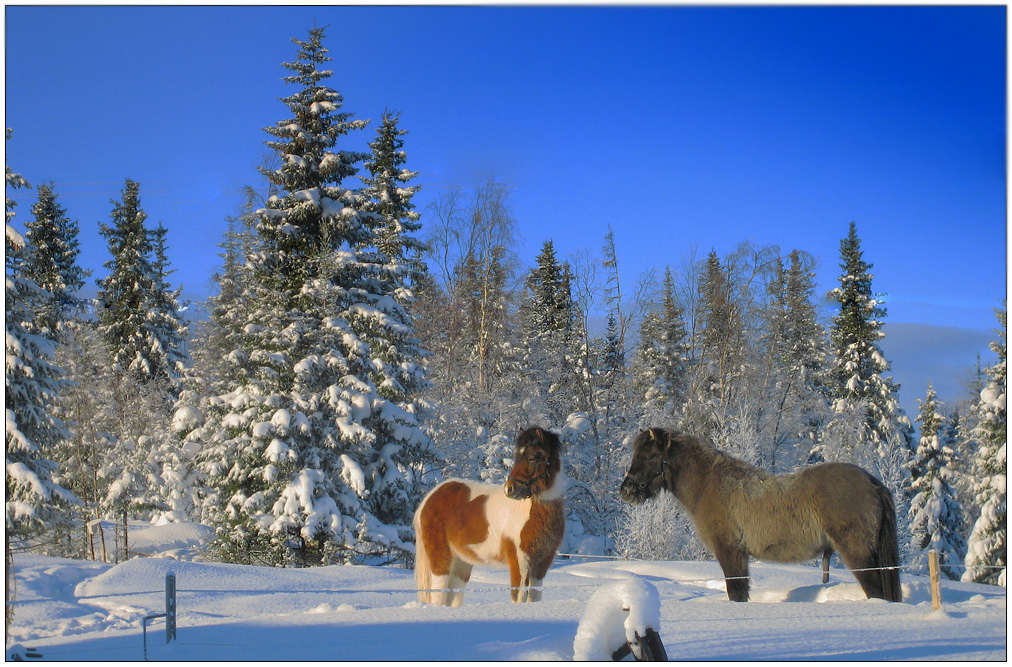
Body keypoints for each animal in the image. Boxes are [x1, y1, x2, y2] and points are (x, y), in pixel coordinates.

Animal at [412, 427, 570, 607]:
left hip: (461, 566)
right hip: (441, 562)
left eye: (532, 458)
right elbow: (519, 597)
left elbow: (534, 598)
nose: (510, 489)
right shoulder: (520, 562)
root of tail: (429, 498)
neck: (530, 512)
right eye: (517, 457)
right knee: (438, 595)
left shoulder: (541, 564)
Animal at [615, 431, 902, 603]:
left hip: (858, 555)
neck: (711, 484)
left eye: (649, 456)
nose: (625, 490)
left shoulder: (730, 552)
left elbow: (736, 592)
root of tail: (872, 482)